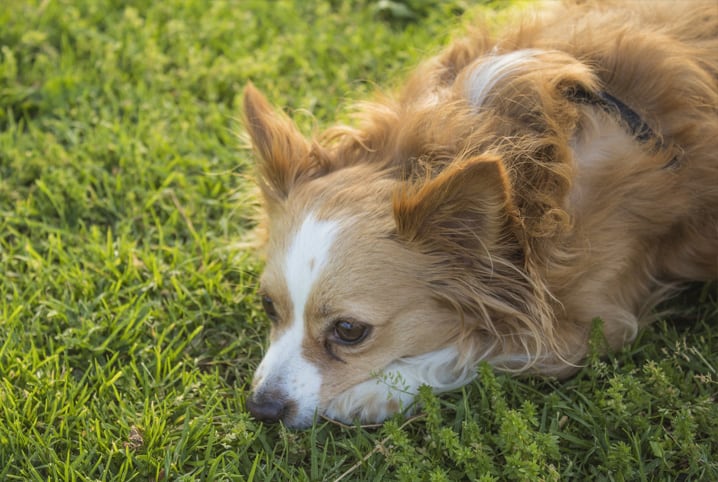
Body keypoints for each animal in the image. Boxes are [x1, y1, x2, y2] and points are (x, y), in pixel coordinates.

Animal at [243, 0, 718, 430]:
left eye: (349, 330)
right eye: (268, 306)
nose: (261, 409)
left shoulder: (593, 325)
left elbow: (477, 348)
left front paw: (377, 390)